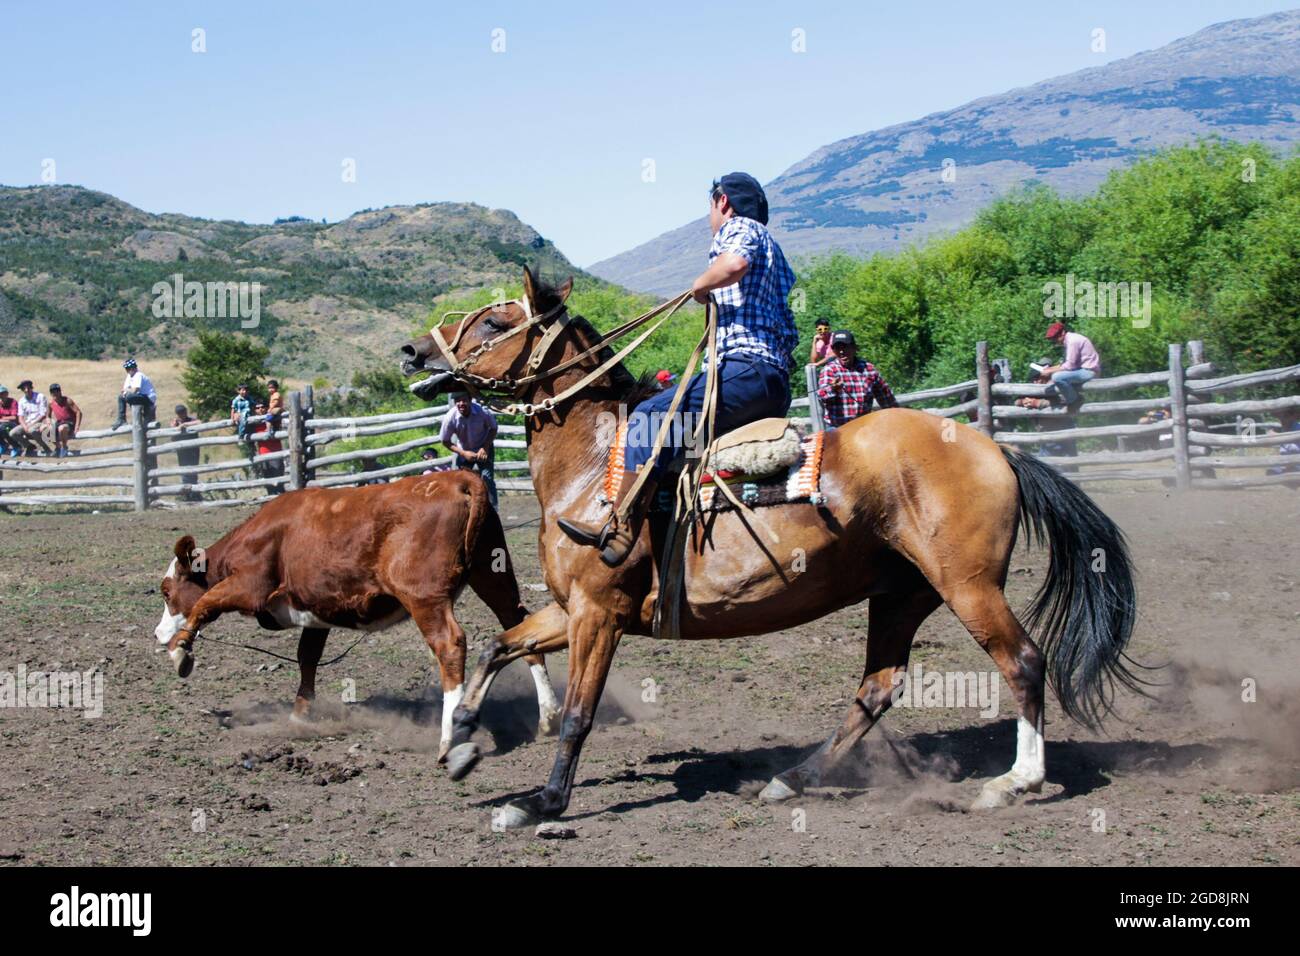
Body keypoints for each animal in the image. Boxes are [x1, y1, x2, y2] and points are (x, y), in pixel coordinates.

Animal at [398, 267, 1140, 827]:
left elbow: (578, 714)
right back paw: (793, 778)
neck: (594, 465)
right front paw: (461, 743)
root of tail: (996, 448)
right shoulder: (570, 608)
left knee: (1023, 662)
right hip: (903, 593)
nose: (415, 353)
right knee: (879, 686)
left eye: (492, 324)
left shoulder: (599, 612)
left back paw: (1015, 782)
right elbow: (501, 645)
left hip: (969, 586)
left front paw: (542, 802)